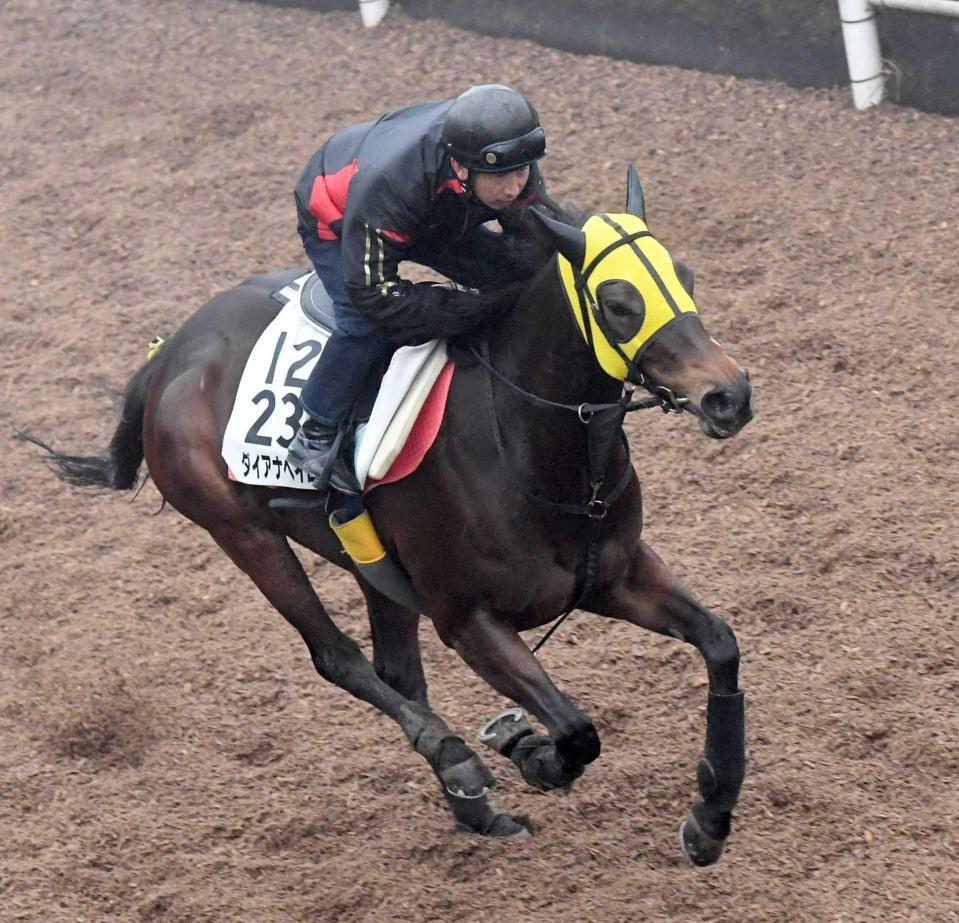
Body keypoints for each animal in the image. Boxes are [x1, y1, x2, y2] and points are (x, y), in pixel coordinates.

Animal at [30, 168, 756, 868]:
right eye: (618, 302)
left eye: (686, 276)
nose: (729, 395)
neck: (526, 449)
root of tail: (169, 354)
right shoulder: (468, 619)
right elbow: (577, 731)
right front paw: (527, 750)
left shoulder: (616, 575)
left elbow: (720, 643)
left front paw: (710, 817)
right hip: (244, 533)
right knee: (339, 657)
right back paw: (457, 759)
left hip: (371, 565)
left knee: (396, 668)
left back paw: (474, 807)